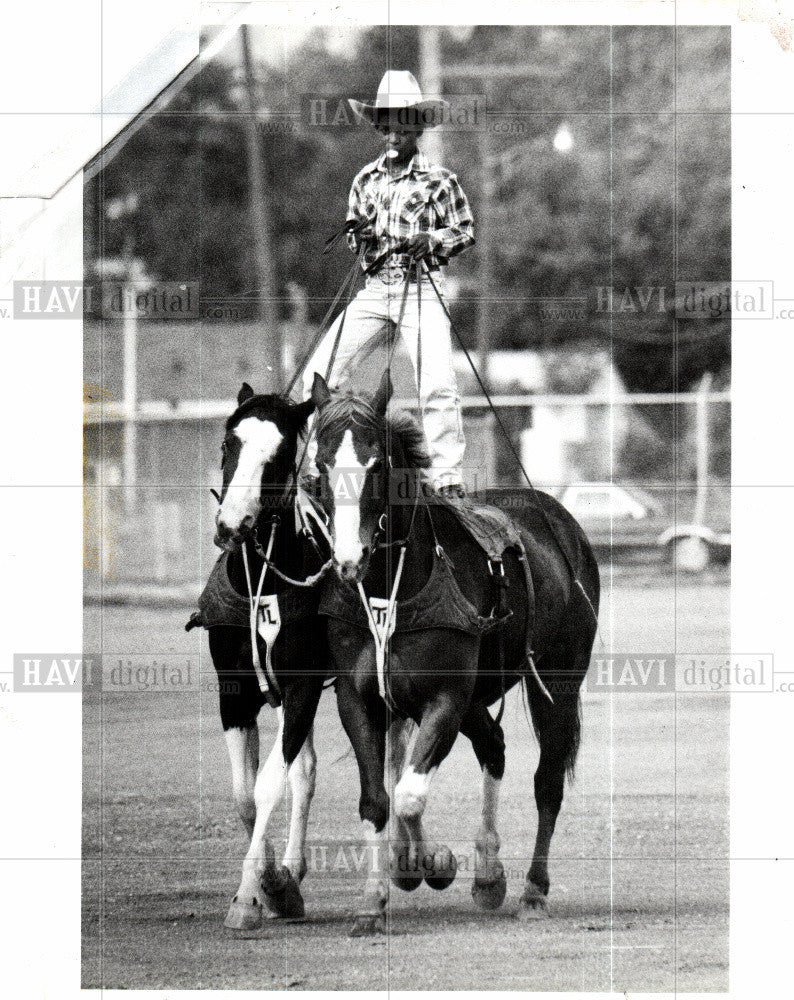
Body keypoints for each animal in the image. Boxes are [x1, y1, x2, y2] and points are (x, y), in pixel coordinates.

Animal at [312, 372, 596, 932]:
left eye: (376, 463)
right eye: (322, 464)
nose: (349, 560)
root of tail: (563, 524)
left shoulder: (444, 696)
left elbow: (409, 793)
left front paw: (430, 864)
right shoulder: (361, 699)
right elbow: (378, 799)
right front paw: (377, 898)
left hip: (555, 686)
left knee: (547, 782)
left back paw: (532, 890)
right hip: (474, 700)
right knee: (493, 745)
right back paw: (488, 875)